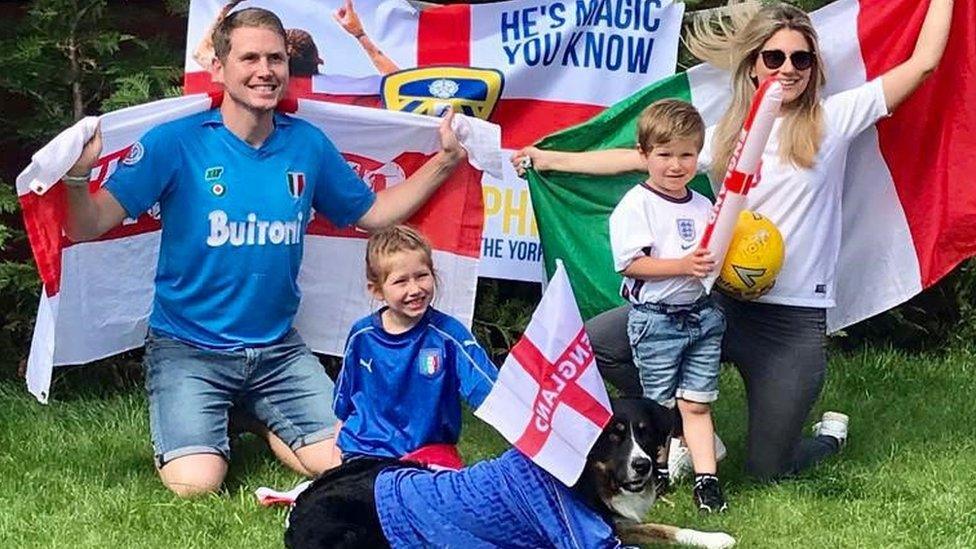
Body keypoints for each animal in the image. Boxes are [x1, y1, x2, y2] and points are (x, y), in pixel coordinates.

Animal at [284, 398, 732, 548]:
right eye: (613, 436)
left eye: (645, 433)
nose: (642, 465)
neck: (583, 478)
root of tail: (301, 503)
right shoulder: (587, 540)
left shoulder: (612, 523)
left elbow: (661, 527)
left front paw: (715, 537)